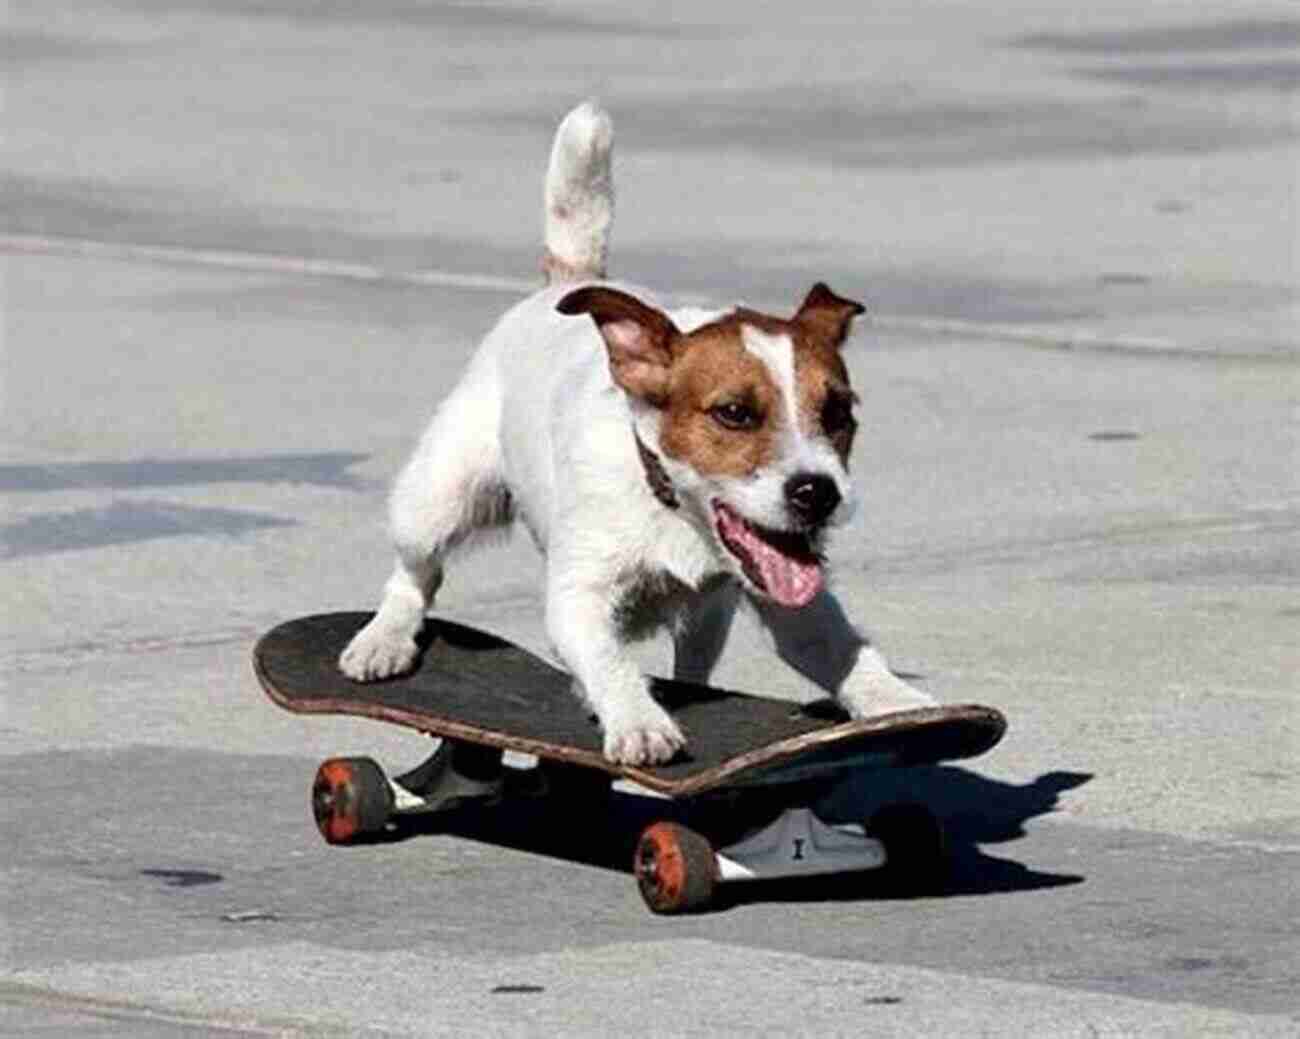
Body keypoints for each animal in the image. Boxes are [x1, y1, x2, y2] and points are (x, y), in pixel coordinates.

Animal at [340, 101, 935, 769]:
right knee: (415, 574)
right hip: (436, 497)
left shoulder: (791, 602)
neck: (670, 507)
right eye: (734, 413)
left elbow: (840, 650)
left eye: (838, 413)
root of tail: (562, 283)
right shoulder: (579, 594)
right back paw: (383, 639)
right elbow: (606, 658)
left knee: (695, 659)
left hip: (710, 615)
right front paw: (638, 720)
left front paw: (900, 704)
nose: (819, 493)